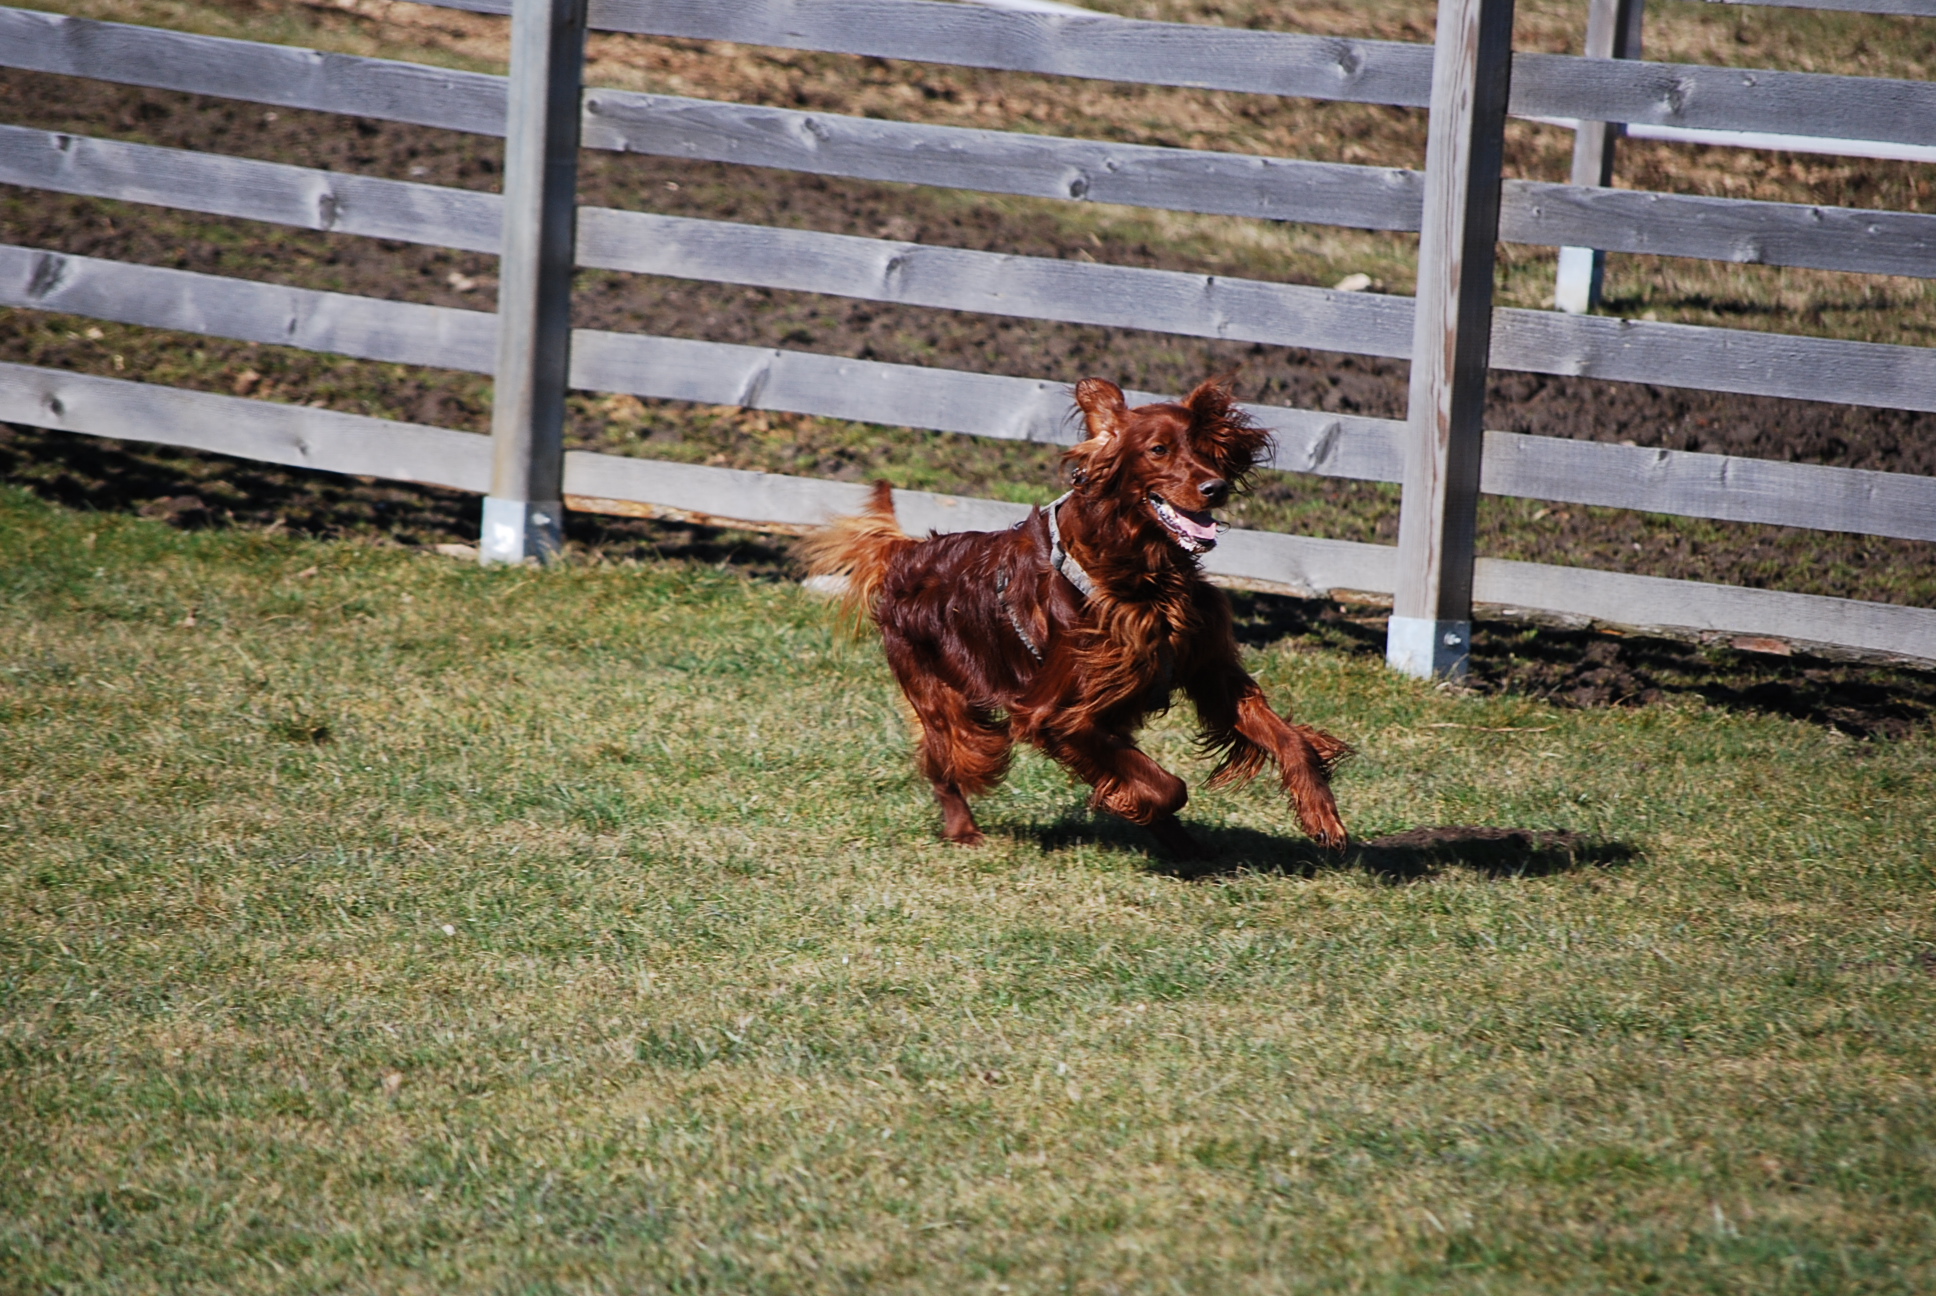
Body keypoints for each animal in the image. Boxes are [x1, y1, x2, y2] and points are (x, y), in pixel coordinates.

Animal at [801, 379, 1347, 852]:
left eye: (1206, 447)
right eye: (1158, 450)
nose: (1216, 488)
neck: (1142, 573)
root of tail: (906, 553)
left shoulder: (1207, 670)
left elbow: (1287, 740)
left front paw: (1321, 814)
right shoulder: (1057, 716)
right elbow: (1168, 786)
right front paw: (1137, 808)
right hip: (946, 701)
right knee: (946, 761)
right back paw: (963, 831)